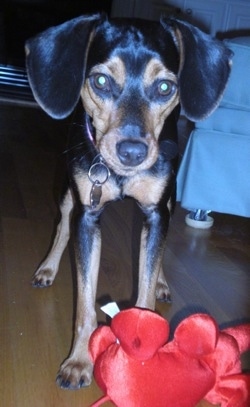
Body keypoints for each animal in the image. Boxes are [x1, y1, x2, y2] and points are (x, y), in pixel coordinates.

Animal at [25, 13, 232, 388]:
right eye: (101, 81)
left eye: (165, 87)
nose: (133, 152)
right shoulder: (87, 214)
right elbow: (85, 302)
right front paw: (79, 361)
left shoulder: (156, 211)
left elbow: (146, 288)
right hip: (67, 192)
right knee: (61, 226)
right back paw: (47, 269)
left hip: (169, 199)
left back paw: (162, 281)